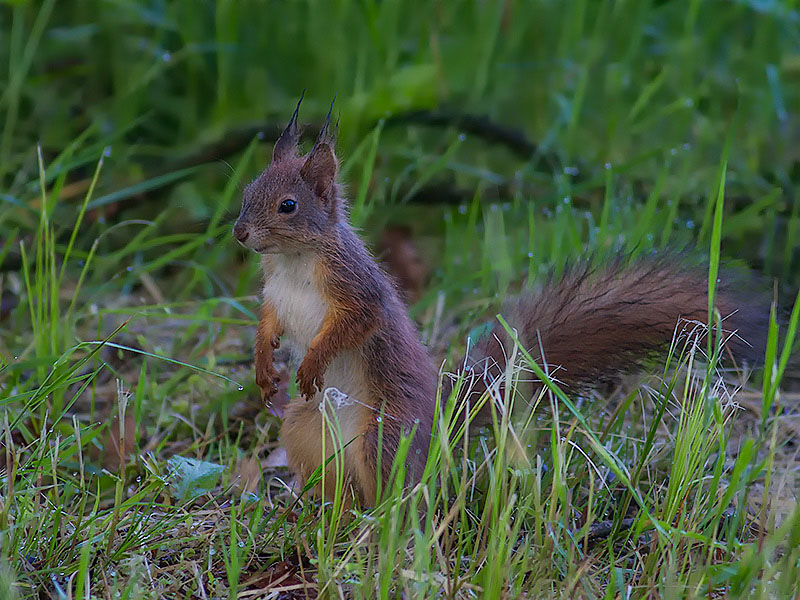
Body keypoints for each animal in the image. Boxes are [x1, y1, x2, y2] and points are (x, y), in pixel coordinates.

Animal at [233, 101, 768, 504]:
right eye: (246, 191)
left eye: (288, 206)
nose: (239, 233)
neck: (295, 261)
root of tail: (436, 426)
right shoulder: (276, 295)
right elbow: (269, 323)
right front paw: (264, 366)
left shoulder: (357, 291)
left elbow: (353, 325)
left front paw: (311, 362)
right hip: (303, 431)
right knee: (339, 487)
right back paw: (317, 513)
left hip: (382, 436)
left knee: (390, 495)